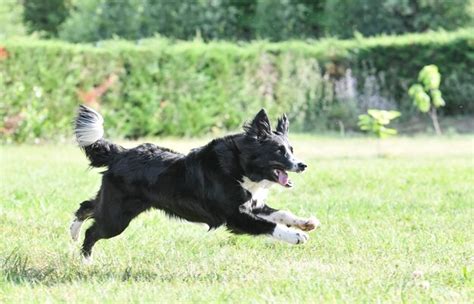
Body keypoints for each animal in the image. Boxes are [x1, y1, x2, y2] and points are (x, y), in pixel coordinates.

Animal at [70, 105, 320, 260]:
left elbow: (282, 214)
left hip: (114, 206)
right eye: (279, 151)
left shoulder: (253, 205)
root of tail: (121, 153)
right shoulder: (235, 216)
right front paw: (296, 236)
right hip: (117, 218)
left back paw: (73, 232)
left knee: (86, 207)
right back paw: (86, 261)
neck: (239, 165)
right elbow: (269, 226)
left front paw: (305, 222)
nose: (302, 165)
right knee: (92, 231)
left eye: (291, 149)